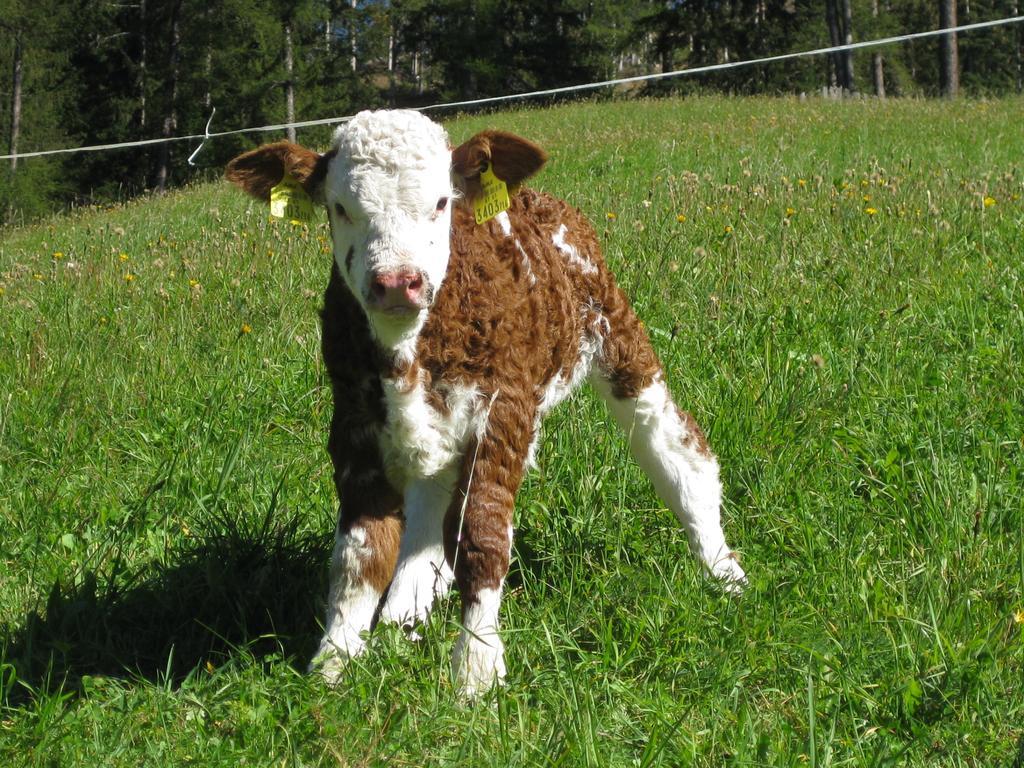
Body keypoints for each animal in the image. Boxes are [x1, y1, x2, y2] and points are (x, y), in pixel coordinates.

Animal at [228, 109, 749, 704]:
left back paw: (722, 570)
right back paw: (403, 619)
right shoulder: (352, 425)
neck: (408, 349)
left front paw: (476, 666)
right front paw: (335, 663)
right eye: (340, 208)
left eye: (440, 202)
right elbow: (361, 555)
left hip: (618, 335)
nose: (397, 283)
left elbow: (482, 534)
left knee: (677, 452)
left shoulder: (504, 409)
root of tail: (534, 198)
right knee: (429, 513)